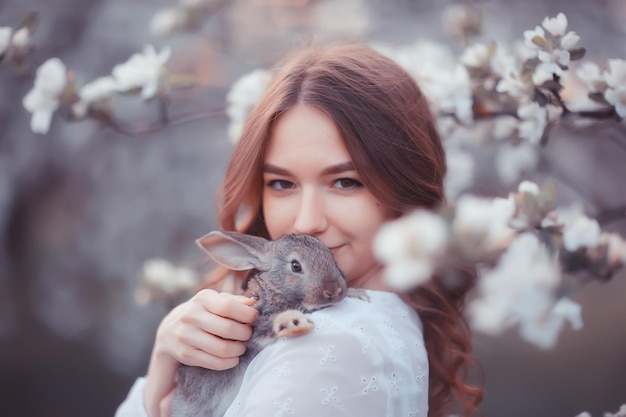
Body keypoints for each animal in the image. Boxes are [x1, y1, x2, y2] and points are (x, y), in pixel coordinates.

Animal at [168, 231, 348, 416]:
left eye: (332, 258)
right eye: (295, 266)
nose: (334, 290)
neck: (275, 288)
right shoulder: (251, 323)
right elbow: (267, 324)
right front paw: (291, 321)